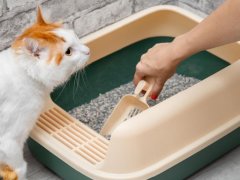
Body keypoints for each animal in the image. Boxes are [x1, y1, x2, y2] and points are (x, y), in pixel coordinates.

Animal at [0, 6, 90, 179]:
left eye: (75, 36)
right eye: (68, 52)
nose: (88, 50)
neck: (24, 73)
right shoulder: (8, 142)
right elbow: (19, 168)